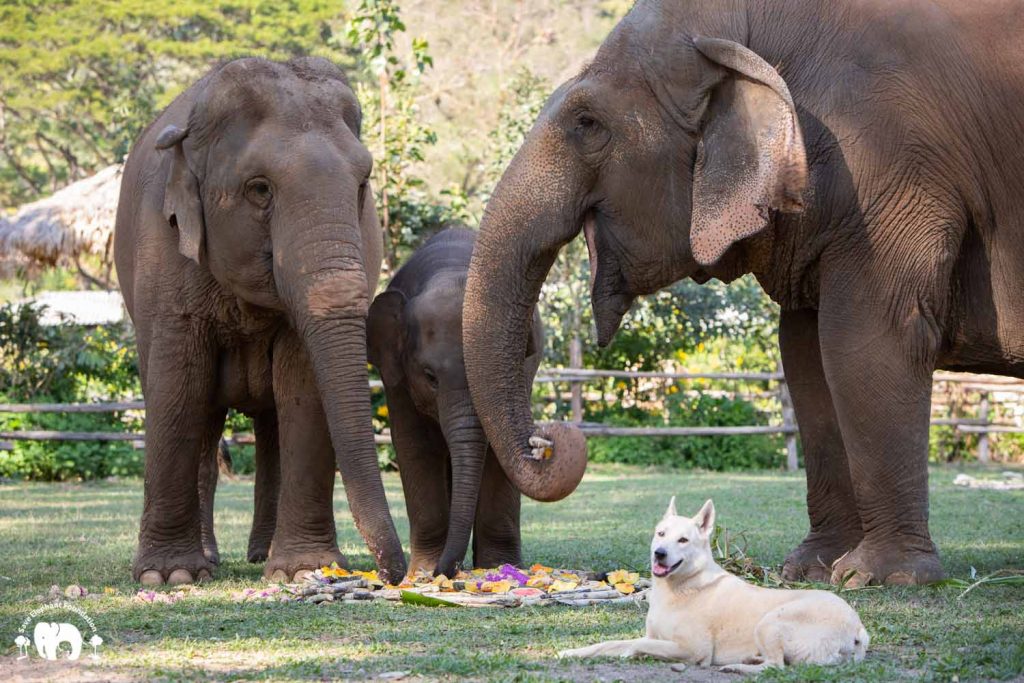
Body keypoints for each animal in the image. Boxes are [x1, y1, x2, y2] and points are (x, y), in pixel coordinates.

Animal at [115, 56, 407, 585]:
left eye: (363, 184)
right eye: (259, 189)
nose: (397, 574)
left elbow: (304, 388)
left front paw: (302, 571)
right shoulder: (162, 252)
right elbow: (176, 388)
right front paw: (169, 577)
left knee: (271, 422)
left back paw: (259, 555)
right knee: (205, 416)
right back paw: (209, 560)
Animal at [368, 229, 585, 577]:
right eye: (430, 376)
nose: (445, 571)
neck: (450, 270)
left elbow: (501, 450)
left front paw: (498, 566)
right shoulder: (397, 379)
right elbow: (415, 447)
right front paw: (422, 573)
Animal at [464, 0, 1024, 589]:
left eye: (586, 123)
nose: (546, 440)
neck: (747, 24)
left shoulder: (893, 165)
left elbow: (866, 342)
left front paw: (877, 578)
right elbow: (806, 355)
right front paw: (809, 571)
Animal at [557, 497, 868, 671]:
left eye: (683, 540)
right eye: (661, 534)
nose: (660, 553)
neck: (681, 587)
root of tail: (858, 628)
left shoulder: (694, 648)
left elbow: (636, 644)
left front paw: (634, 654)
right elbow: (609, 643)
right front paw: (571, 652)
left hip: (769, 623)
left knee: (777, 667)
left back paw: (735, 668)